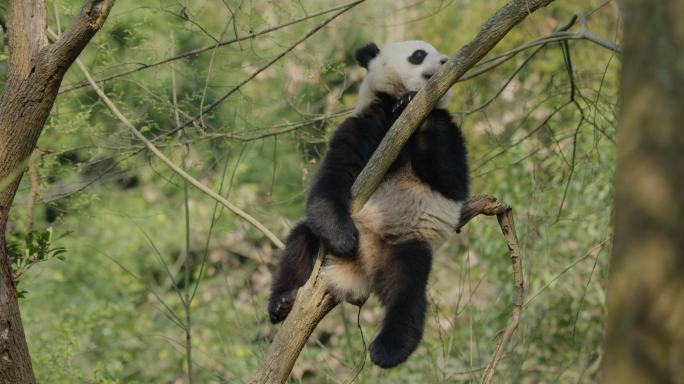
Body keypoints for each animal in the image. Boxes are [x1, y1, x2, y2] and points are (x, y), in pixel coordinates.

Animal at [270, 40, 468, 368]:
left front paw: (419, 106)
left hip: (406, 246)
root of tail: (363, 266)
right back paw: (282, 302)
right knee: (300, 242)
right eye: (418, 54)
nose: (445, 61)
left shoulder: (445, 130)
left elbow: (451, 181)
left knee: (407, 293)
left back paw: (389, 348)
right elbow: (334, 175)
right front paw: (342, 237)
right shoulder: (363, 123)